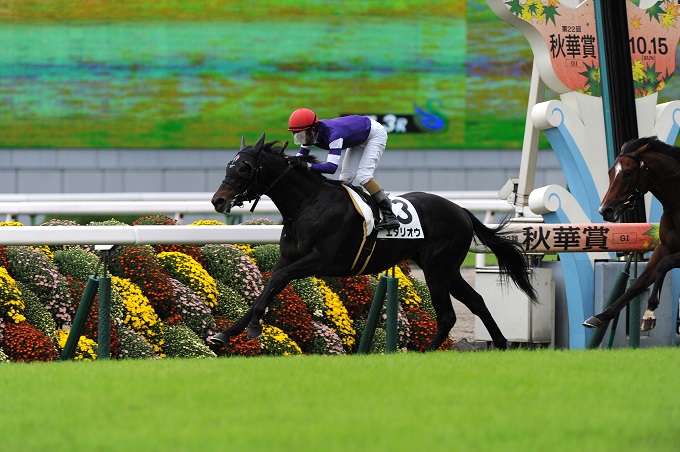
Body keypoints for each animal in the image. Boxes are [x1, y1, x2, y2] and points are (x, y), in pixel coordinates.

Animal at [207, 133, 538, 351]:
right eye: (228, 165)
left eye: (245, 167)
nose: (217, 200)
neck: (307, 204)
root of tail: (462, 211)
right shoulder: (287, 258)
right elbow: (267, 287)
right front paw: (226, 333)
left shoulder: (319, 260)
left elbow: (276, 281)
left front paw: (252, 328)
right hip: (449, 270)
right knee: (477, 301)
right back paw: (501, 343)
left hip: (437, 269)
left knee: (447, 315)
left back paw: (427, 353)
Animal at [584, 136, 680, 331]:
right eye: (610, 172)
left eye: (627, 172)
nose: (605, 210)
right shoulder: (665, 247)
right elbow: (638, 283)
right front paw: (601, 316)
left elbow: (663, 264)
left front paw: (649, 312)